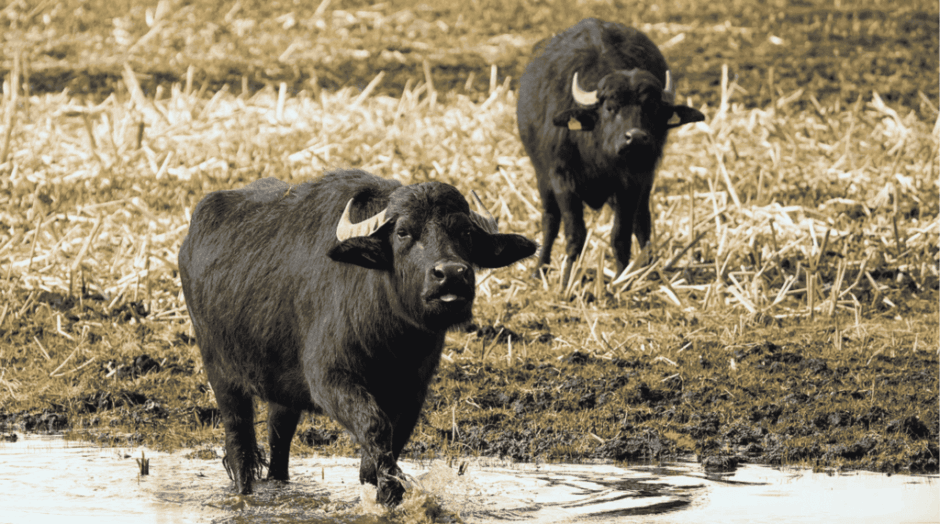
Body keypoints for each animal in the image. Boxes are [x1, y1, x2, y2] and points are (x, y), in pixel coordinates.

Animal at [178, 170, 536, 506]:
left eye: (465, 232)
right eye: (403, 232)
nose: (450, 273)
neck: (394, 339)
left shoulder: (412, 393)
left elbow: (384, 446)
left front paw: (380, 487)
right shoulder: (329, 380)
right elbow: (375, 427)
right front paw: (390, 491)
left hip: (281, 390)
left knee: (279, 439)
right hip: (221, 374)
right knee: (239, 446)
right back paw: (244, 493)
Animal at [516, 17, 704, 282]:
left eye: (653, 107)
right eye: (610, 107)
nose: (636, 138)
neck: (598, 155)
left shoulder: (632, 182)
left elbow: (621, 235)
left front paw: (621, 278)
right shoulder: (562, 179)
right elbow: (574, 235)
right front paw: (567, 280)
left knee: (642, 221)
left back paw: (648, 268)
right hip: (542, 176)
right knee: (550, 220)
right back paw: (539, 269)